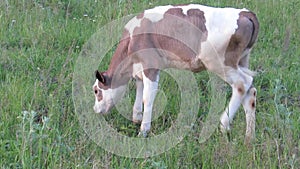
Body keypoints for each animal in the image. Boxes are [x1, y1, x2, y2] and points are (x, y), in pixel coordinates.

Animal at [92, 3, 258, 143]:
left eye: (96, 91)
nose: (95, 110)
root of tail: (245, 13)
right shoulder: (140, 69)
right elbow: (139, 90)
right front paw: (136, 118)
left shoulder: (150, 66)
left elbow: (147, 98)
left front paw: (143, 131)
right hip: (241, 61)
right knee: (250, 93)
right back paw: (249, 138)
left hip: (220, 63)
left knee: (242, 84)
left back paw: (224, 125)